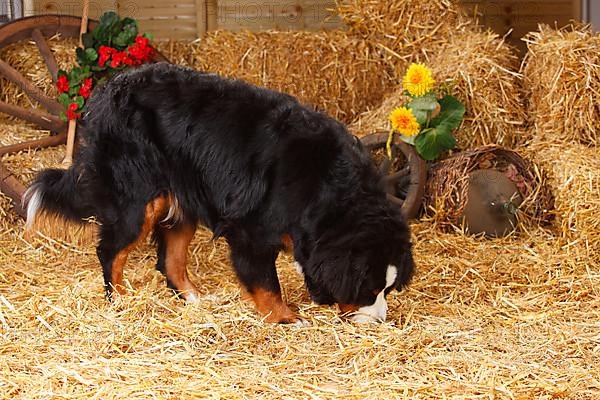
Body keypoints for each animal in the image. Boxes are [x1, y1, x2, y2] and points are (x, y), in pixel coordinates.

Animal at [25, 63, 414, 324]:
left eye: (388, 289)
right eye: (368, 289)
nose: (380, 320)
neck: (325, 188)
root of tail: (106, 92)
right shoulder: (251, 229)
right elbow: (265, 282)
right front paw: (286, 318)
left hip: (180, 200)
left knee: (171, 261)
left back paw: (195, 299)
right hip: (139, 199)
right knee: (111, 252)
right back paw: (120, 300)